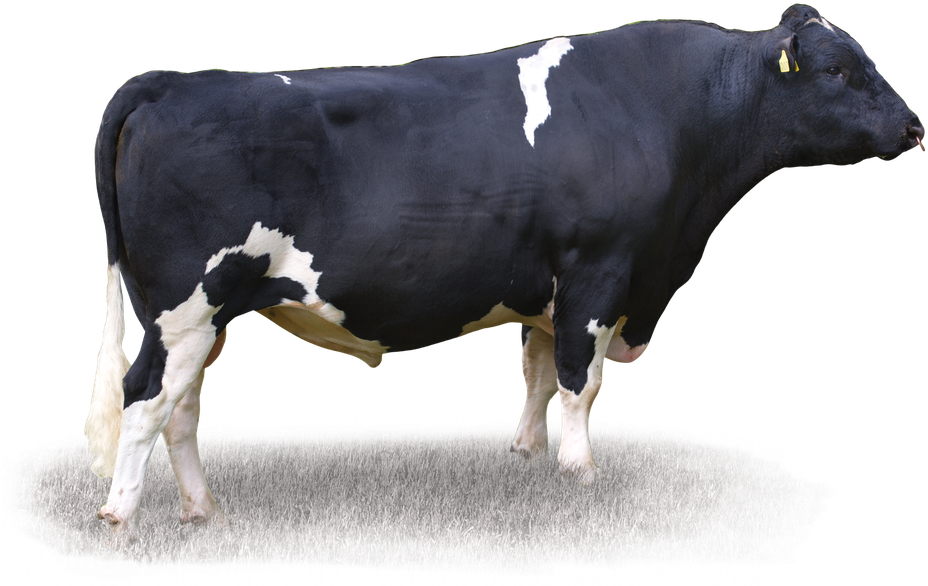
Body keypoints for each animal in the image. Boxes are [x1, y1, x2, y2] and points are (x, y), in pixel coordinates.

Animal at [87, 4, 922, 548]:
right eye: (839, 70)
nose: (915, 126)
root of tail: (173, 82)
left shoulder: (549, 282)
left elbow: (539, 367)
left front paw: (528, 452)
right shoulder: (600, 270)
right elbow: (582, 378)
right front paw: (582, 471)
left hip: (202, 318)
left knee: (182, 409)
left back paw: (205, 513)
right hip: (189, 305)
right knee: (145, 398)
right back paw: (122, 523)